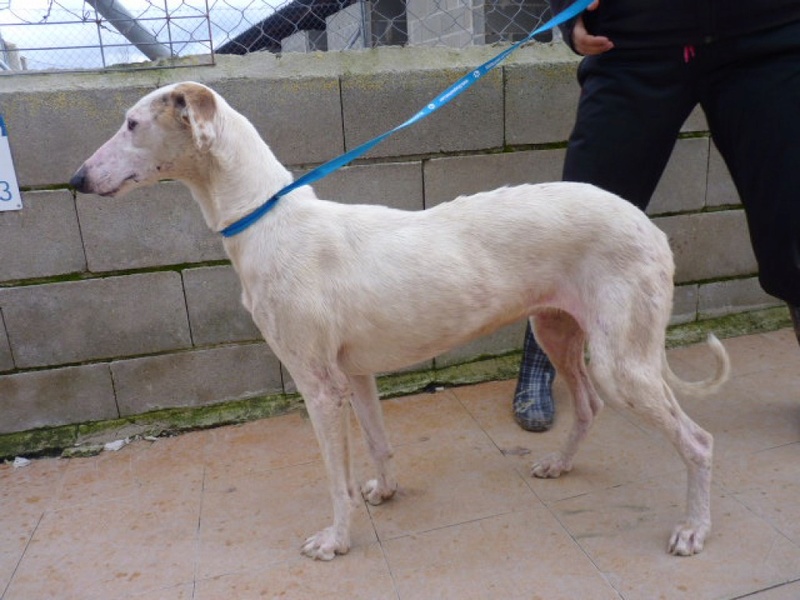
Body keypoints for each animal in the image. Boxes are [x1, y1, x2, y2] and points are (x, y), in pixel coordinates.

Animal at [72, 82, 728, 560]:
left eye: (131, 124)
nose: (76, 180)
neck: (269, 219)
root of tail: (649, 226)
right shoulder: (354, 375)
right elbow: (378, 444)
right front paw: (385, 492)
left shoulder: (319, 387)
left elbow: (336, 480)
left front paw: (336, 541)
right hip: (557, 330)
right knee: (588, 404)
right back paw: (560, 463)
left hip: (623, 361)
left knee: (698, 441)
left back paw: (695, 528)